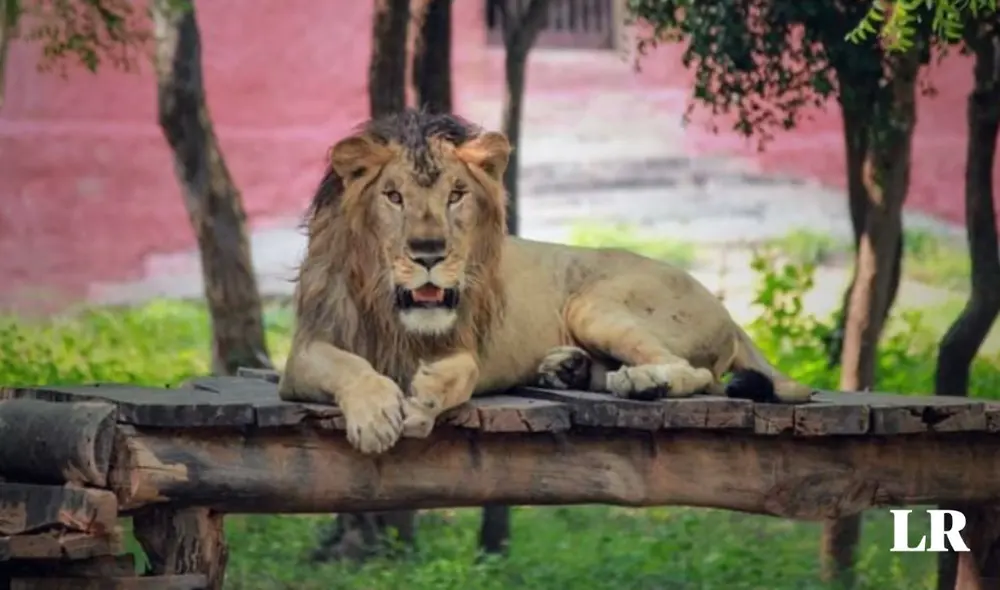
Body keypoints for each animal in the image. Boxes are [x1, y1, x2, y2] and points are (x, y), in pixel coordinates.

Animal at [278, 108, 816, 455]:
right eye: (393, 196)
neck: (392, 309)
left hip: (593, 304)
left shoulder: (466, 346)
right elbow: (350, 366)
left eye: (456, 195)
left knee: (695, 373)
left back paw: (640, 381)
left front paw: (426, 398)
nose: (429, 252)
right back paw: (569, 370)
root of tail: (724, 308)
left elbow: (462, 371)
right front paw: (374, 416)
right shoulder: (303, 353)